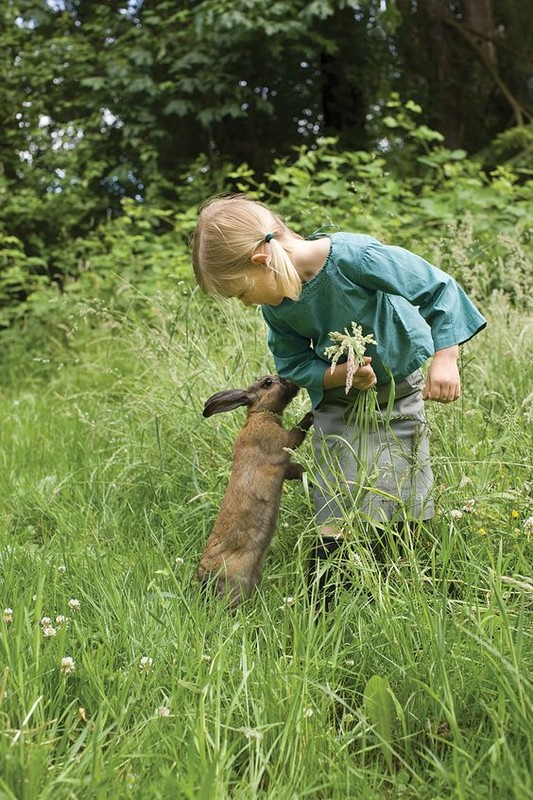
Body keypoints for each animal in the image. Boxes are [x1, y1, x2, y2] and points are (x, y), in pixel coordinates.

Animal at [198, 376, 314, 608]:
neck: (260, 414)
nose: (291, 382)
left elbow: (296, 469)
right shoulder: (281, 442)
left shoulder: (286, 467)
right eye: (268, 382)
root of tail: (203, 578)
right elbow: (296, 435)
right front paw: (311, 415)